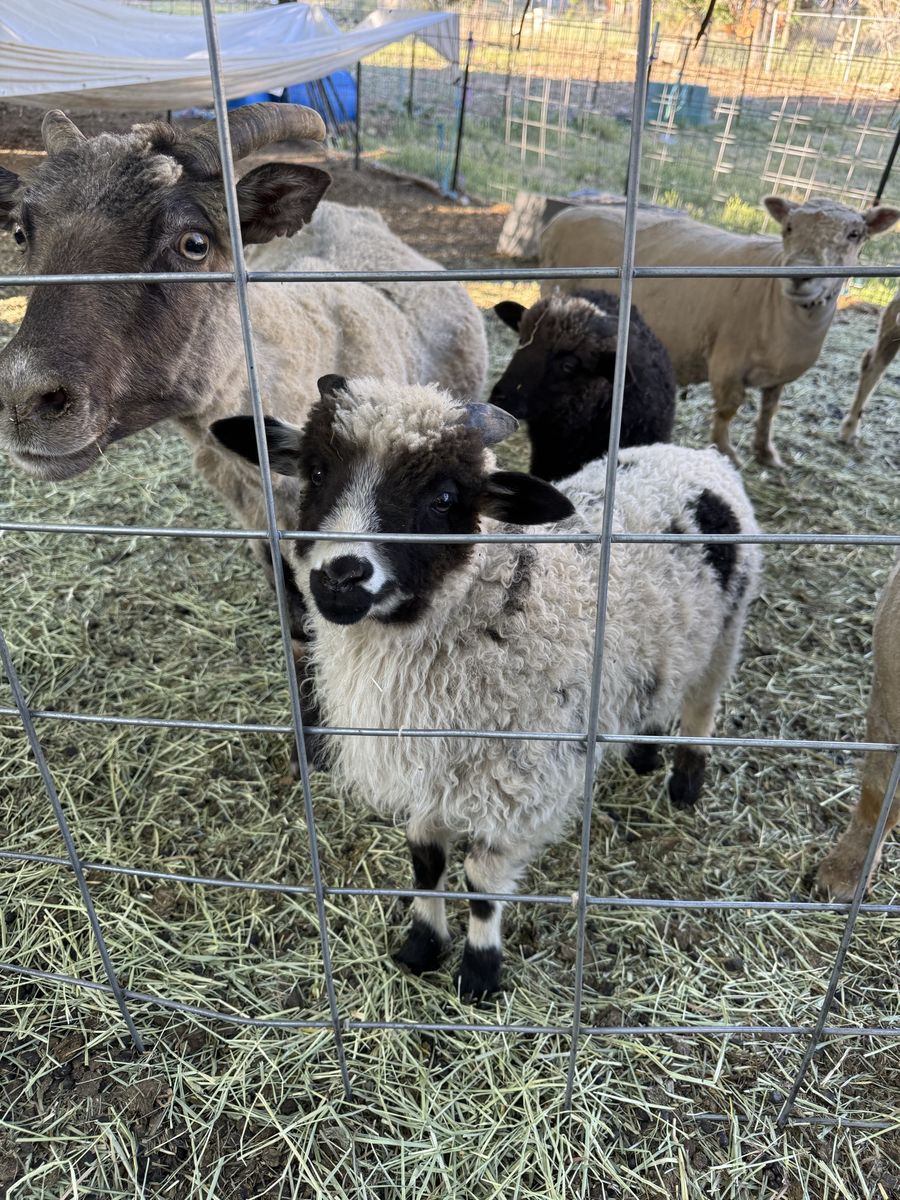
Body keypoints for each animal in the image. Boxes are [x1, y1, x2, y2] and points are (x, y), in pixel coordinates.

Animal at [211, 375, 762, 997]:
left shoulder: (520, 788)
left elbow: (480, 881)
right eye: (317, 472)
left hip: (726, 630)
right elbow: (425, 860)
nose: (341, 576)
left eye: (445, 498)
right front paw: (422, 946)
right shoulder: (428, 771)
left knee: (702, 702)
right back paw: (643, 752)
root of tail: (696, 456)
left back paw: (686, 779)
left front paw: (478, 971)